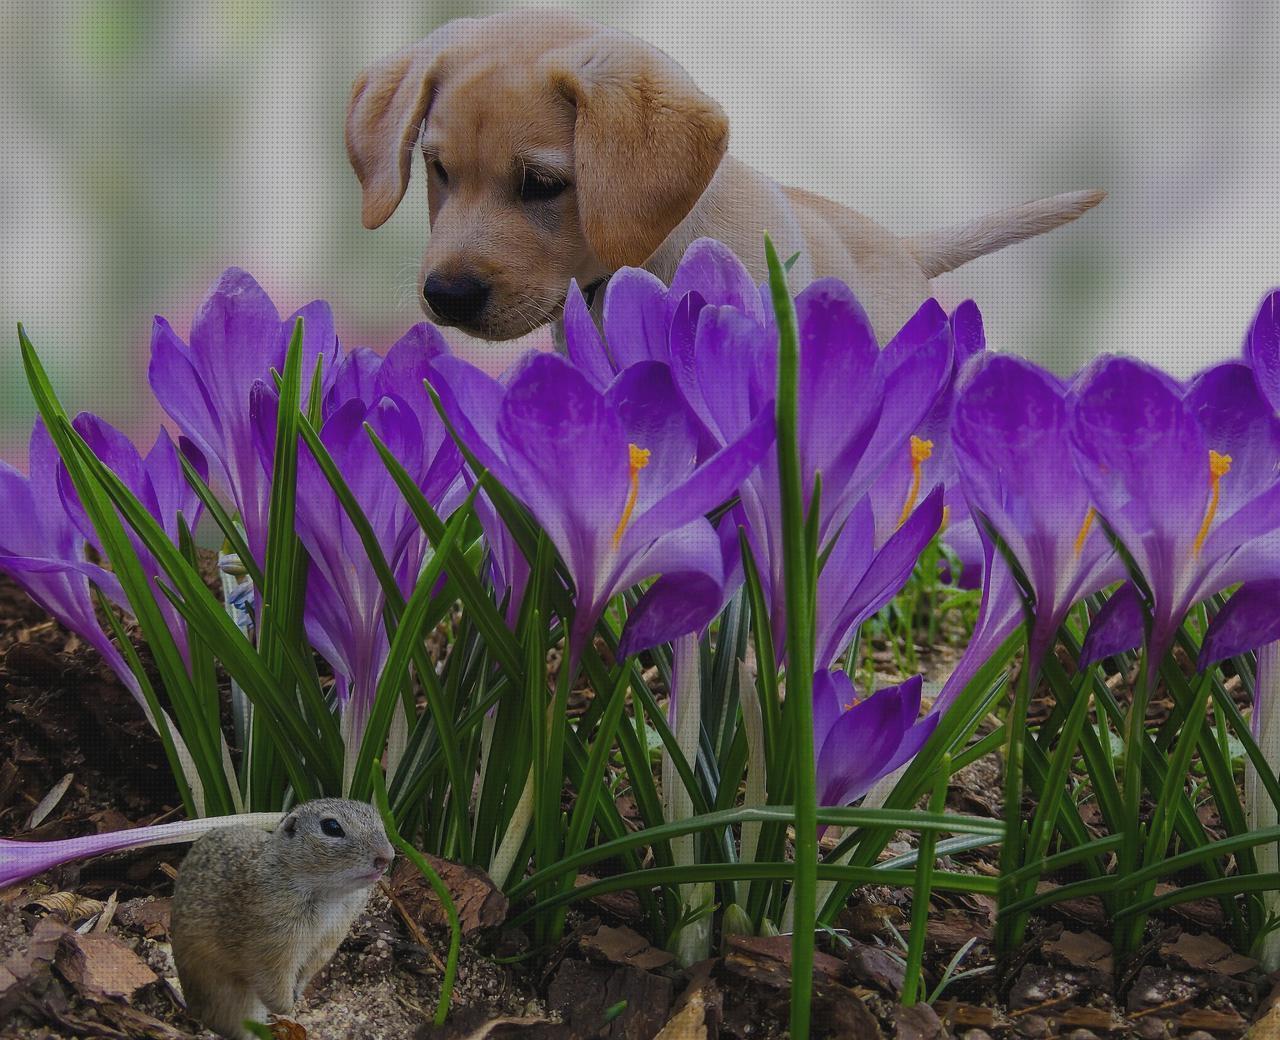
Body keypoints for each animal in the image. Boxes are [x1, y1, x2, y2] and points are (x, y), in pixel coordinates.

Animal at [170, 799, 391, 1034]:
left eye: (379, 820)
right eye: (331, 827)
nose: (387, 857)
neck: (330, 895)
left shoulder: (332, 936)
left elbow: (310, 968)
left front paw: (297, 996)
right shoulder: (273, 942)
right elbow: (273, 978)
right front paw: (286, 1007)